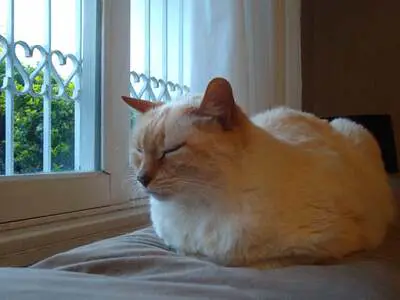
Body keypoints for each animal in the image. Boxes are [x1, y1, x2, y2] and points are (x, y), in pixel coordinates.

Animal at [122, 77, 396, 268]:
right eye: (139, 150)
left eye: (171, 150)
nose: (142, 179)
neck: (195, 207)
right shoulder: (179, 245)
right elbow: (188, 252)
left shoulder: (325, 245)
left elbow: (254, 260)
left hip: (354, 131)